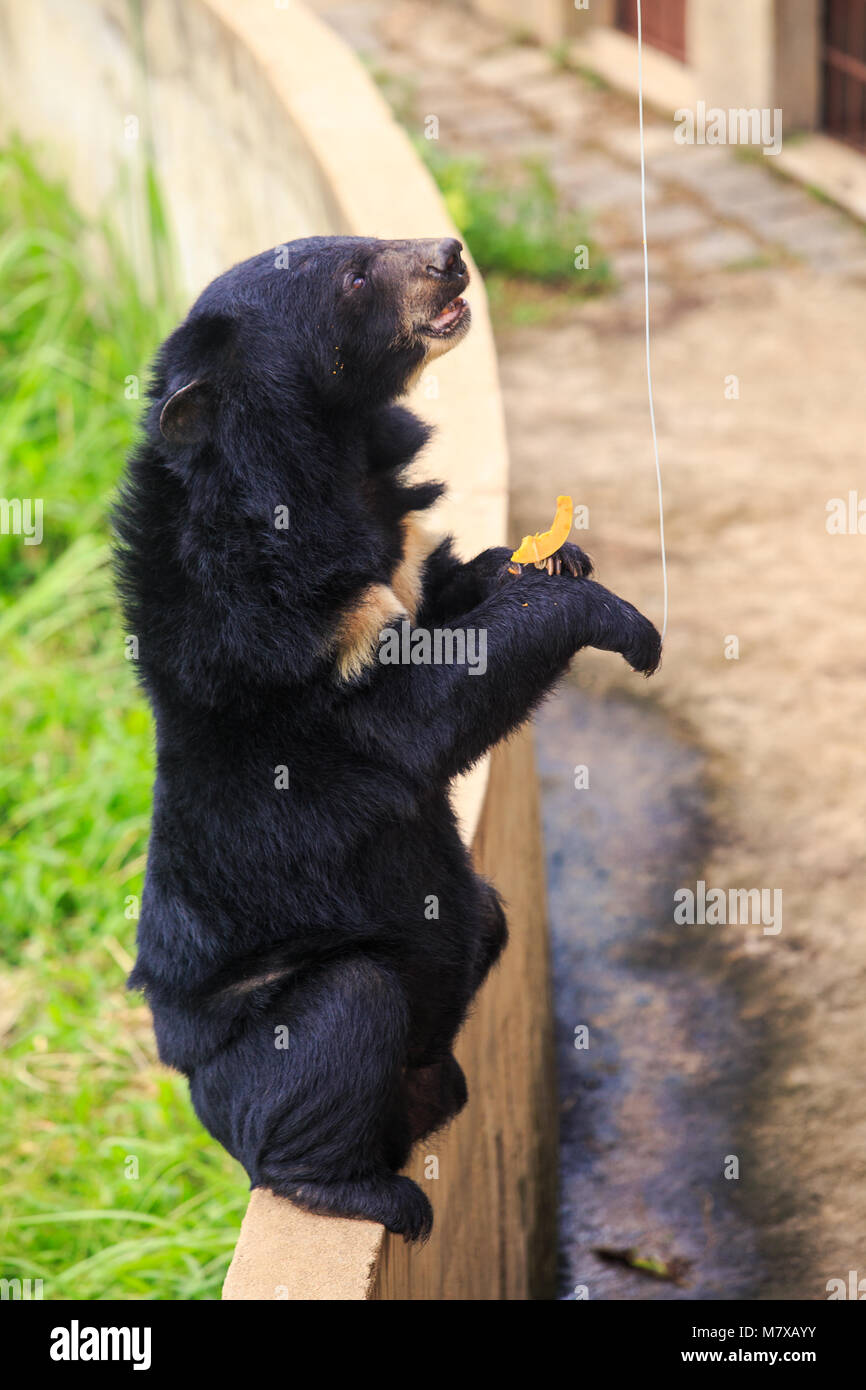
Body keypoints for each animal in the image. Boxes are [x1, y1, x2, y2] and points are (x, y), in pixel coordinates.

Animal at [114, 235, 661, 1241]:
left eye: (364, 248)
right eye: (357, 276)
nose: (450, 253)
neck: (335, 467)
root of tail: (201, 1102)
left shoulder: (400, 557)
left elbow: (454, 591)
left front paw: (549, 552)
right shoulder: (283, 635)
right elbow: (420, 718)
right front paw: (617, 618)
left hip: (463, 935)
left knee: (482, 917)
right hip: (269, 1038)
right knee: (347, 1013)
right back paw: (373, 1196)